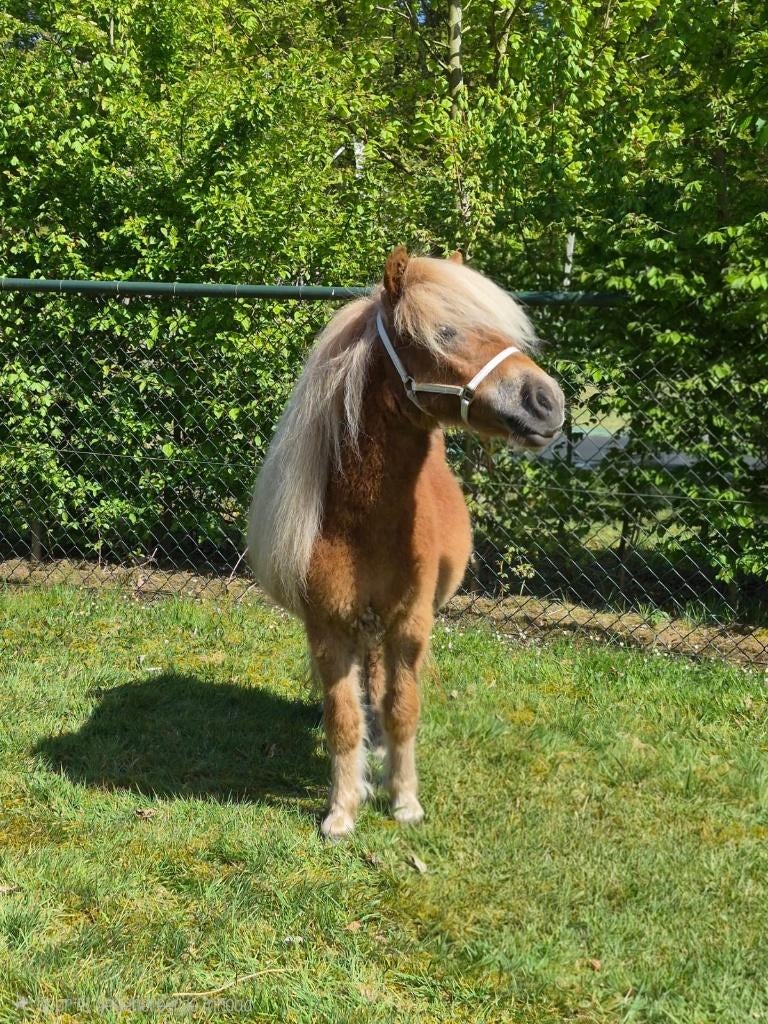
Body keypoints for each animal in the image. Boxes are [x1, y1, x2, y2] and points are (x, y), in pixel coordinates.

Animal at [247, 247, 565, 838]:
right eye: (444, 331)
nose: (547, 401)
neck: (364, 525)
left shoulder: (411, 624)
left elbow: (402, 709)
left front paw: (404, 800)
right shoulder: (328, 628)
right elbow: (343, 717)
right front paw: (342, 809)